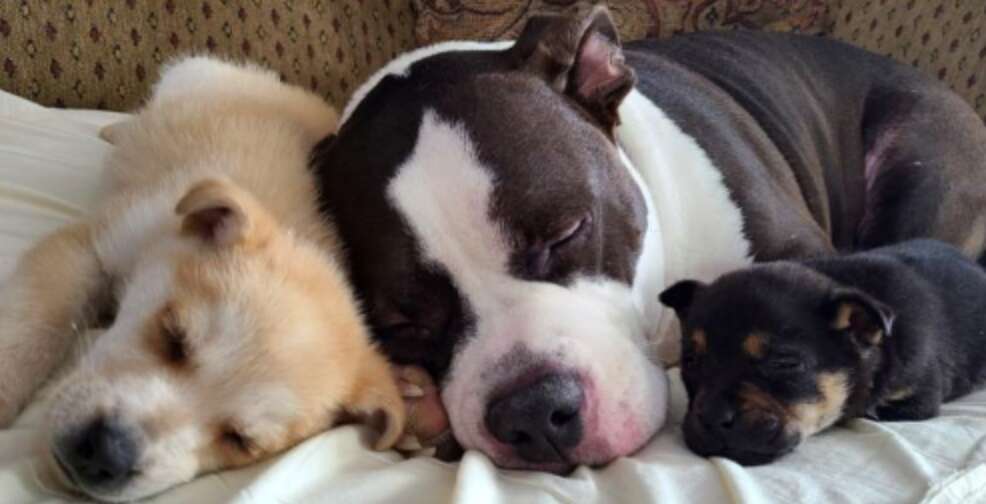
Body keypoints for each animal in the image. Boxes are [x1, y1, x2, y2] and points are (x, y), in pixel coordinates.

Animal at [0, 57, 408, 502]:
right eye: (174, 337)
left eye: (240, 441)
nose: (107, 455)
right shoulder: (89, 247)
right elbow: (32, 327)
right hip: (190, 74)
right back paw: (115, 129)